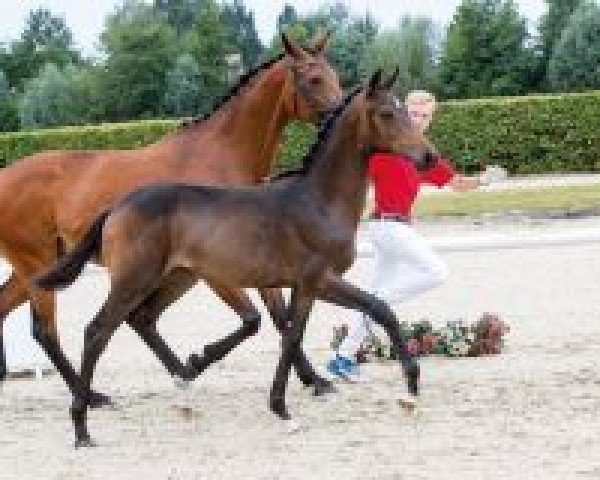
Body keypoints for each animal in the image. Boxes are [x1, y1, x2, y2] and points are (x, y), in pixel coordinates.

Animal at [35, 70, 434, 446]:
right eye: (387, 113)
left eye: (405, 109)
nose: (429, 156)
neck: (317, 201)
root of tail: (116, 207)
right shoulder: (317, 280)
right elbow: (329, 324)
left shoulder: (310, 286)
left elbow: (337, 321)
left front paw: (409, 389)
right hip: (134, 280)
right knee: (97, 332)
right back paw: (82, 426)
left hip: (177, 277)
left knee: (141, 319)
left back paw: (182, 380)